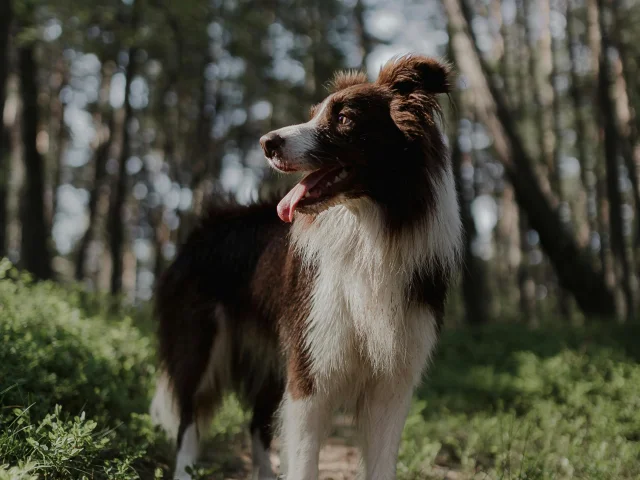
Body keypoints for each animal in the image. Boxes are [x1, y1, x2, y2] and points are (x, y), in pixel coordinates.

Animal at [150, 54, 460, 478]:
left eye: (344, 118)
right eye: (312, 115)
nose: (266, 143)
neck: (369, 233)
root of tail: (202, 226)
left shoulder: (392, 379)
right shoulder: (312, 366)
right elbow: (302, 456)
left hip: (270, 354)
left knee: (257, 423)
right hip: (200, 338)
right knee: (189, 419)